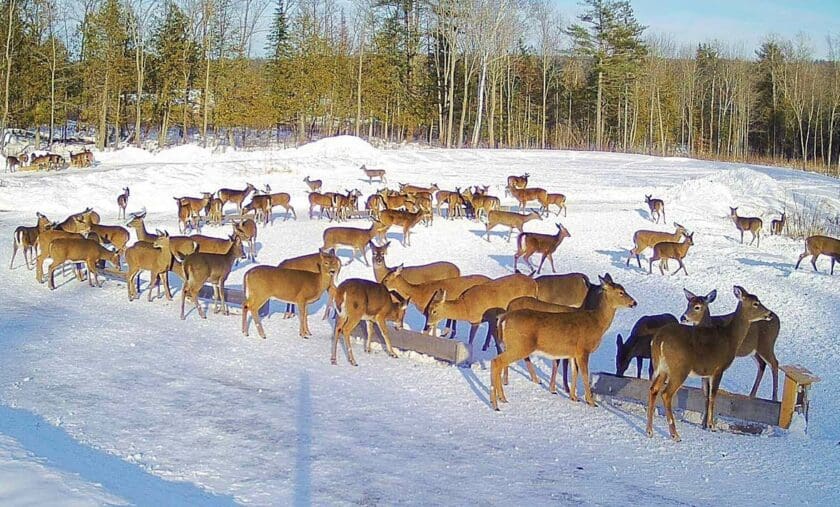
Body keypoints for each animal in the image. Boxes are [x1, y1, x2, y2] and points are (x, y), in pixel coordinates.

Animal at [490, 274, 637, 410]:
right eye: (621, 292)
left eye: (624, 289)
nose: (634, 302)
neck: (596, 322)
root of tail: (504, 318)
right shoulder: (583, 349)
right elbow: (584, 374)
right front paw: (591, 402)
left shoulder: (573, 352)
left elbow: (574, 372)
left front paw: (573, 397)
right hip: (520, 346)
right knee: (497, 361)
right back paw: (498, 403)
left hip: (514, 345)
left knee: (497, 361)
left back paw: (500, 398)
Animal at [646, 286, 773, 441]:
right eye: (756, 303)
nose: (770, 313)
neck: (730, 338)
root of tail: (659, 339)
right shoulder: (718, 368)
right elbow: (713, 395)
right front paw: (712, 426)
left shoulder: (706, 373)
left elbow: (706, 396)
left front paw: (705, 424)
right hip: (679, 369)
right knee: (666, 394)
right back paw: (675, 435)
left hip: (661, 367)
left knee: (653, 389)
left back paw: (649, 431)